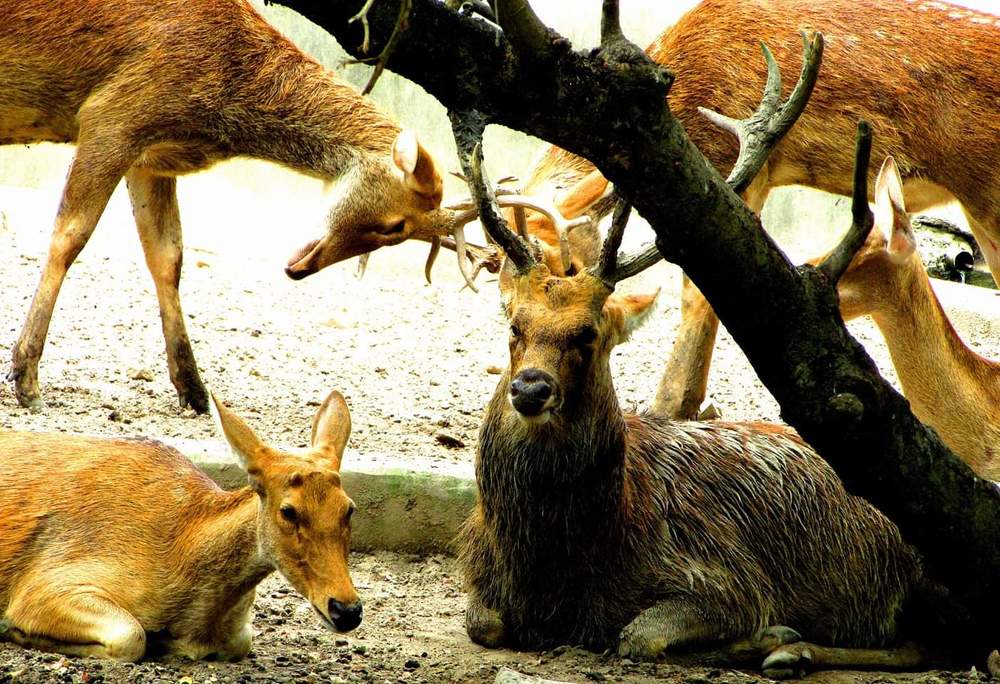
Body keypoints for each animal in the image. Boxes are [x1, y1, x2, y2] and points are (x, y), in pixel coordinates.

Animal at [0, 0, 501, 415]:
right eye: (396, 225)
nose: (301, 270)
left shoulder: (151, 157)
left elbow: (168, 256)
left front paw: (195, 393)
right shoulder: (112, 114)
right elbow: (70, 235)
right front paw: (26, 379)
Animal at [0, 389, 361, 661]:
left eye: (349, 509)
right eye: (288, 511)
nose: (347, 610)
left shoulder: (238, 636)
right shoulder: (45, 585)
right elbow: (131, 636)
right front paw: (14, 630)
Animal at [502, 0, 1000, 420]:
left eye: (565, 265)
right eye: (502, 281)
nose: (527, 382)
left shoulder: (733, 164)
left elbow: (699, 290)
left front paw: (670, 407)